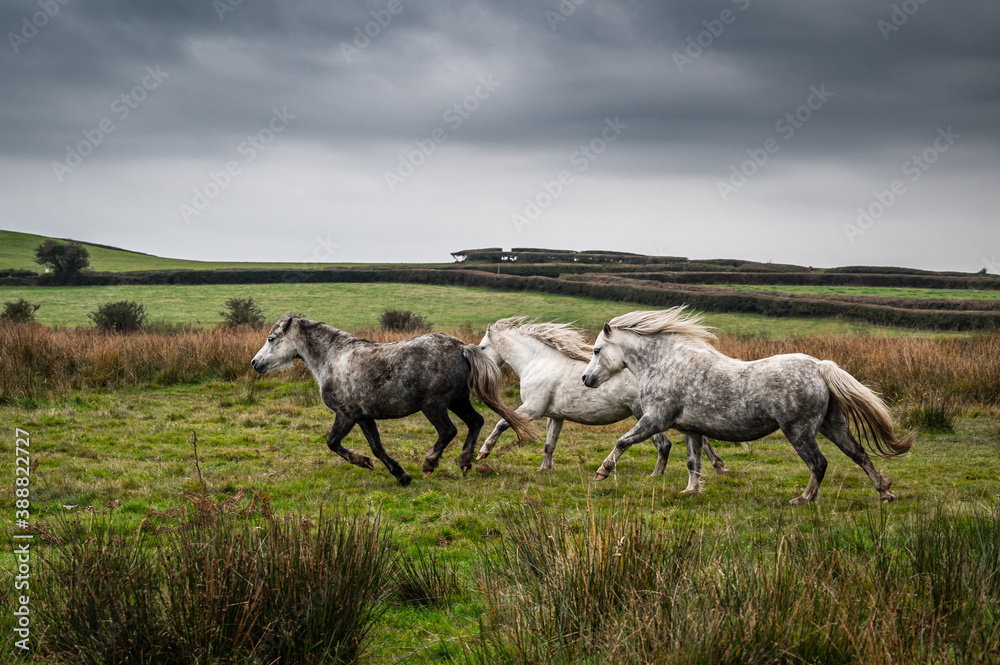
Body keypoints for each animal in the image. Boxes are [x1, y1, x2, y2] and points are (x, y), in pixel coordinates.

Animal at [251, 314, 537, 486]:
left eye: (272, 338)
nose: (255, 363)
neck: (333, 358)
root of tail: (461, 347)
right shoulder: (364, 417)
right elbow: (377, 447)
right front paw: (400, 475)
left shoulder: (346, 415)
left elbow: (332, 443)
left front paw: (363, 462)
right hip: (458, 400)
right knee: (475, 421)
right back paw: (465, 462)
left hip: (434, 406)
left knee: (449, 430)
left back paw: (429, 463)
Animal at [475, 317, 727, 475]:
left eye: (482, 347)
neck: (538, 361)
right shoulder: (554, 416)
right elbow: (549, 444)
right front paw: (545, 468)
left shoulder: (532, 409)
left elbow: (502, 423)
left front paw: (483, 453)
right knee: (698, 438)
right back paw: (719, 466)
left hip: (645, 415)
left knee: (664, 445)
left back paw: (655, 475)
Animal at [582, 307, 913, 504]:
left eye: (597, 350)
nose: (586, 379)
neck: (666, 363)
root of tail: (820, 367)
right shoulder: (691, 429)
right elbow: (693, 462)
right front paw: (691, 490)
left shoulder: (655, 420)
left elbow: (623, 441)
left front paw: (602, 472)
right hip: (833, 426)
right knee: (860, 454)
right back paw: (885, 493)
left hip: (799, 431)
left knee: (819, 463)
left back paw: (803, 499)